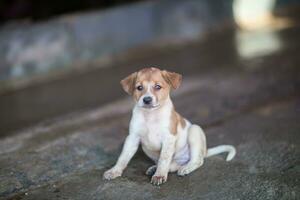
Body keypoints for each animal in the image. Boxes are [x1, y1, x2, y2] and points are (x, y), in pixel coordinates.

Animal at [103, 67, 237, 186]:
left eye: (158, 87)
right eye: (139, 88)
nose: (147, 99)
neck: (151, 115)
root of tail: (205, 151)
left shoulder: (168, 138)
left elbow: (164, 159)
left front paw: (159, 175)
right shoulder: (132, 138)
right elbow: (123, 157)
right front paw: (114, 171)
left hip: (194, 131)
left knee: (197, 160)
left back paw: (185, 168)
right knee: (173, 165)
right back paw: (156, 168)